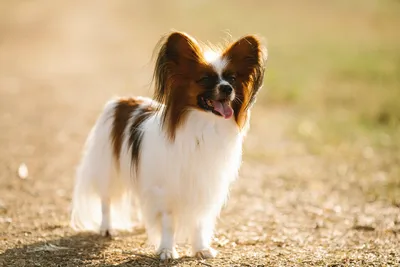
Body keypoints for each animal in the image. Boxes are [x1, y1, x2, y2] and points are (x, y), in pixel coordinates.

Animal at [70, 30, 268, 260]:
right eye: (205, 79)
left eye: (233, 79)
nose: (227, 88)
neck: (204, 125)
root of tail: (122, 101)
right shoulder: (167, 189)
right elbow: (168, 224)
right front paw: (166, 249)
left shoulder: (203, 187)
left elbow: (199, 222)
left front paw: (200, 248)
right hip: (109, 169)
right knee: (106, 200)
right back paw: (107, 228)